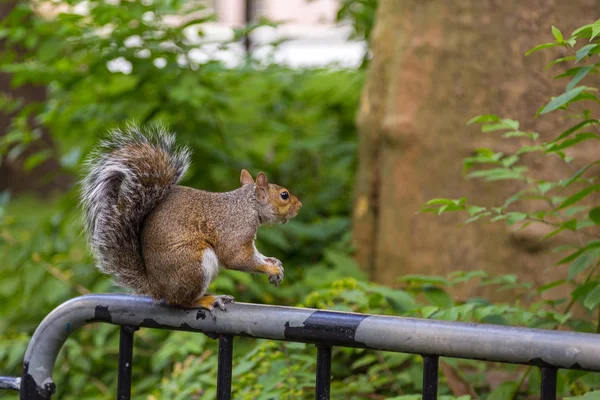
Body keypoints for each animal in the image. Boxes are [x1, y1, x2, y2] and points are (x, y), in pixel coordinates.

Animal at [79, 126, 302, 314]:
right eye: (284, 195)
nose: (299, 206)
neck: (248, 205)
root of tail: (157, 287)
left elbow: (256, 254)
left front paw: (273, 262)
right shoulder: (235, 228)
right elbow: (236, 257)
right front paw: (271, 268)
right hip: (194, 265)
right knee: (179, 302)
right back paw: (207, 300)